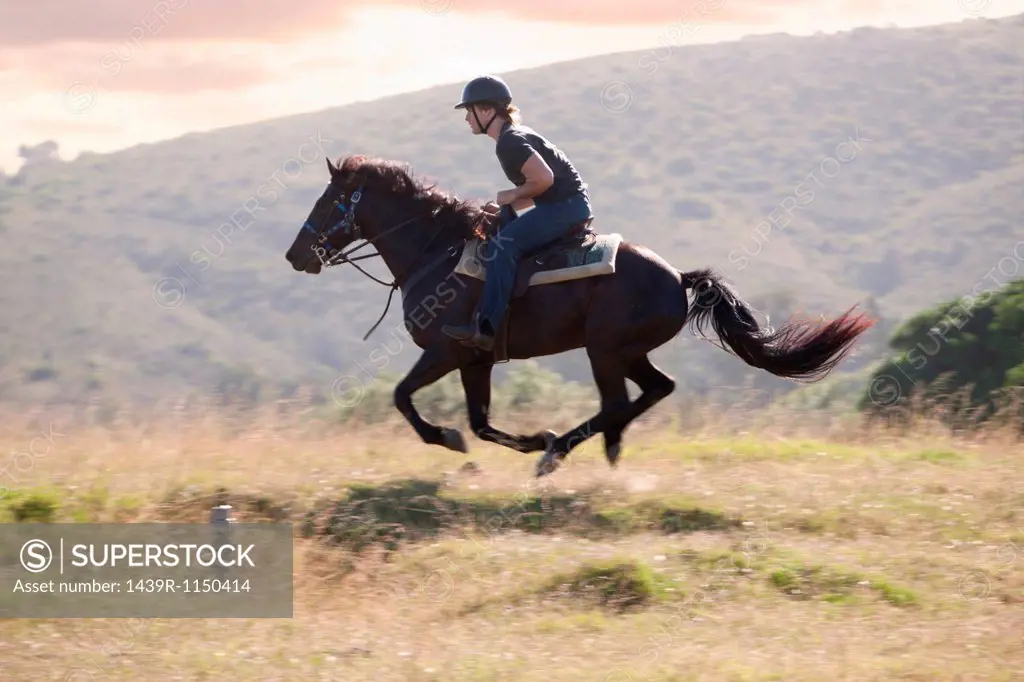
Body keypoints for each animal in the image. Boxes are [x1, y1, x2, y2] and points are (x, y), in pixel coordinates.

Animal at [284, 153, 876, 473]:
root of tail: (678, 276)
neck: (438, 251)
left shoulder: (446, 350)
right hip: (624, 351)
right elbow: (481, 423)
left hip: (604, 350)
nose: (295, 255)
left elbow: (404, 399)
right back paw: (600, 447)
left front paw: (452, 438)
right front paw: (526, 439)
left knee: (617, 401)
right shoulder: (476, 361)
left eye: (327, 202)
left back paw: (561, 453)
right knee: (654, 390)